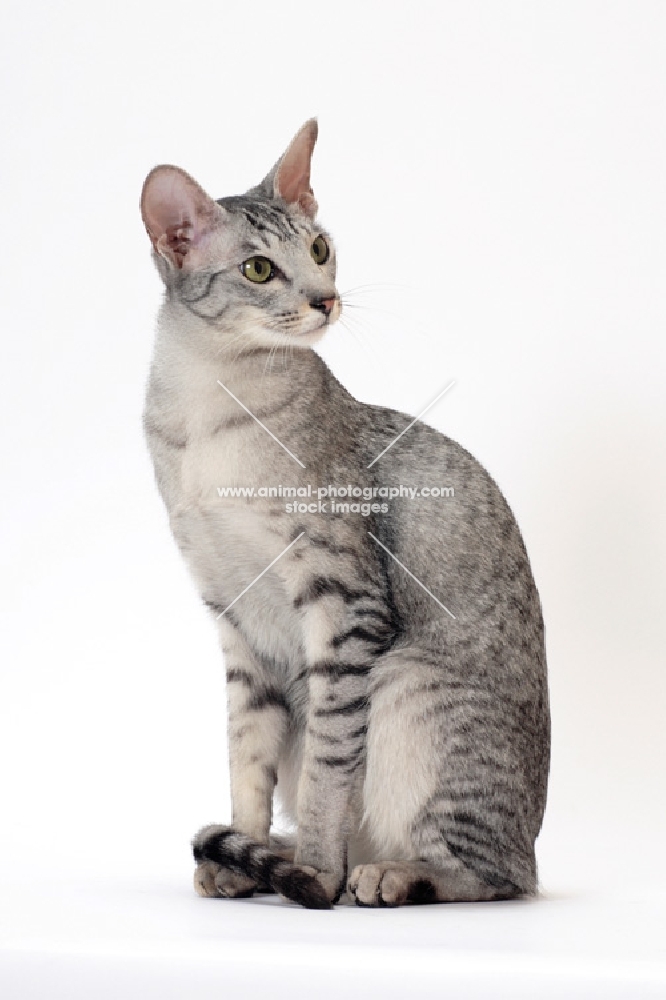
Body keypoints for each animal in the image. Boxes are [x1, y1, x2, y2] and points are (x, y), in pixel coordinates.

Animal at [141, 117, 548, 908]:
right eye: (259, 269)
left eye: (320, 250)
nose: (325, 300)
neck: (210, 413)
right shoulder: (234, 617)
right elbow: (248, 759)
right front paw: (245, 857)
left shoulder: (342, 597)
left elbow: (328, 763)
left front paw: (314, 874)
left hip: (408, 684)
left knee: (497, 875)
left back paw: (388, 872)